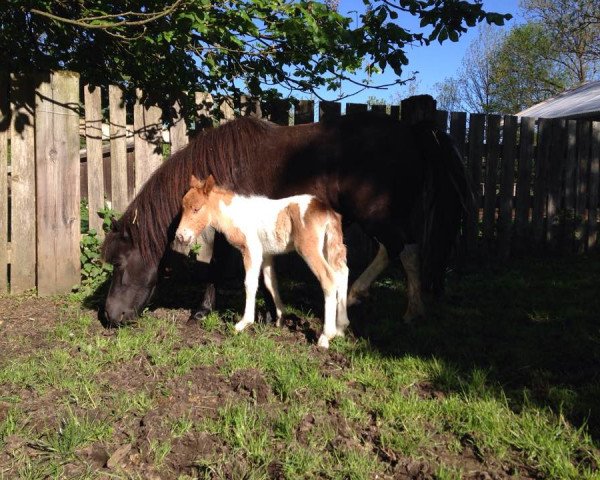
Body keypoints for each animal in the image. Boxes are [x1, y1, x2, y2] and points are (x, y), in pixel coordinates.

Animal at [102, 111, 468, 326]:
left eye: (119, 263)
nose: (109, 316)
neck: (224, 166)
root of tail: (411, 131)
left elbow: (219, 266)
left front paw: (203, 310)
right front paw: (270, 312)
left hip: (377, 216)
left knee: (404, 250)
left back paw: (400, 306)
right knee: (393, 251)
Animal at [176, 174, 350, 346]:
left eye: (196, 209)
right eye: (183, 208)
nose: (180, 236)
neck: (236, 215)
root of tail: (327, 212)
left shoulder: (252, 250)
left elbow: (250, 283)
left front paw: (243, 323)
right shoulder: (266, 254)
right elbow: (270, 282)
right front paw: (281, 318)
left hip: (309, 249)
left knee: (328, 278)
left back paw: (326, 336)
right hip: (327, 247)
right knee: (342, 273)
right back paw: (341, 328)